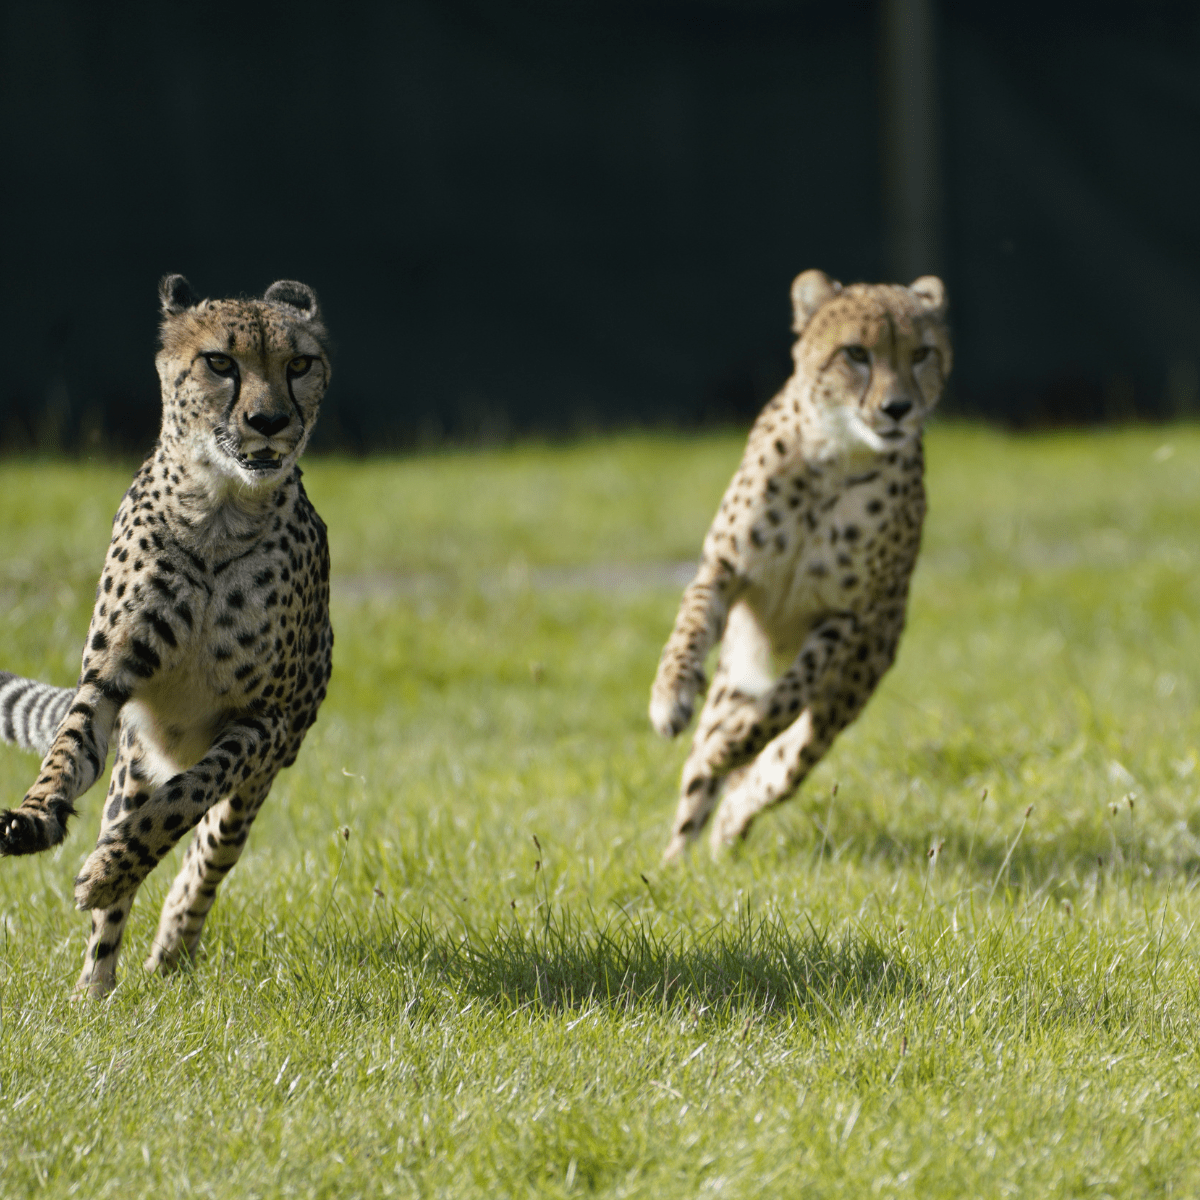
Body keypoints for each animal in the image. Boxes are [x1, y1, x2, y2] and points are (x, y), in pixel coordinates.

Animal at [0, 274, 334, 996]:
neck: (219, 510)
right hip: (132, 763)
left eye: (299, 364)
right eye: (220, 362)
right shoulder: (107, 684)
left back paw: (170, 941)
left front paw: (108, 869)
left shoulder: (266, 721)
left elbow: (185, 801)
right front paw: (35, 816)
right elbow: (64, 755)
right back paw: (93, 992)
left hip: (263, 774)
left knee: (208, 855)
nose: (269, 422)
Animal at [650, 269, 952, 860]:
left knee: (779, 768)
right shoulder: (723, 568)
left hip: (845, 694)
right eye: (856, 353)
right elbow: (688, 629)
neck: (837, 460)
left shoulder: (844, 617)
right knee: (697, 789)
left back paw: (729, 820)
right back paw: (678, 864)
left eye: (922, 353)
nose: (898, 408)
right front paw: (670, 696)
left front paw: (735, 747)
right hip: (733, 681)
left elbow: (785, 702)